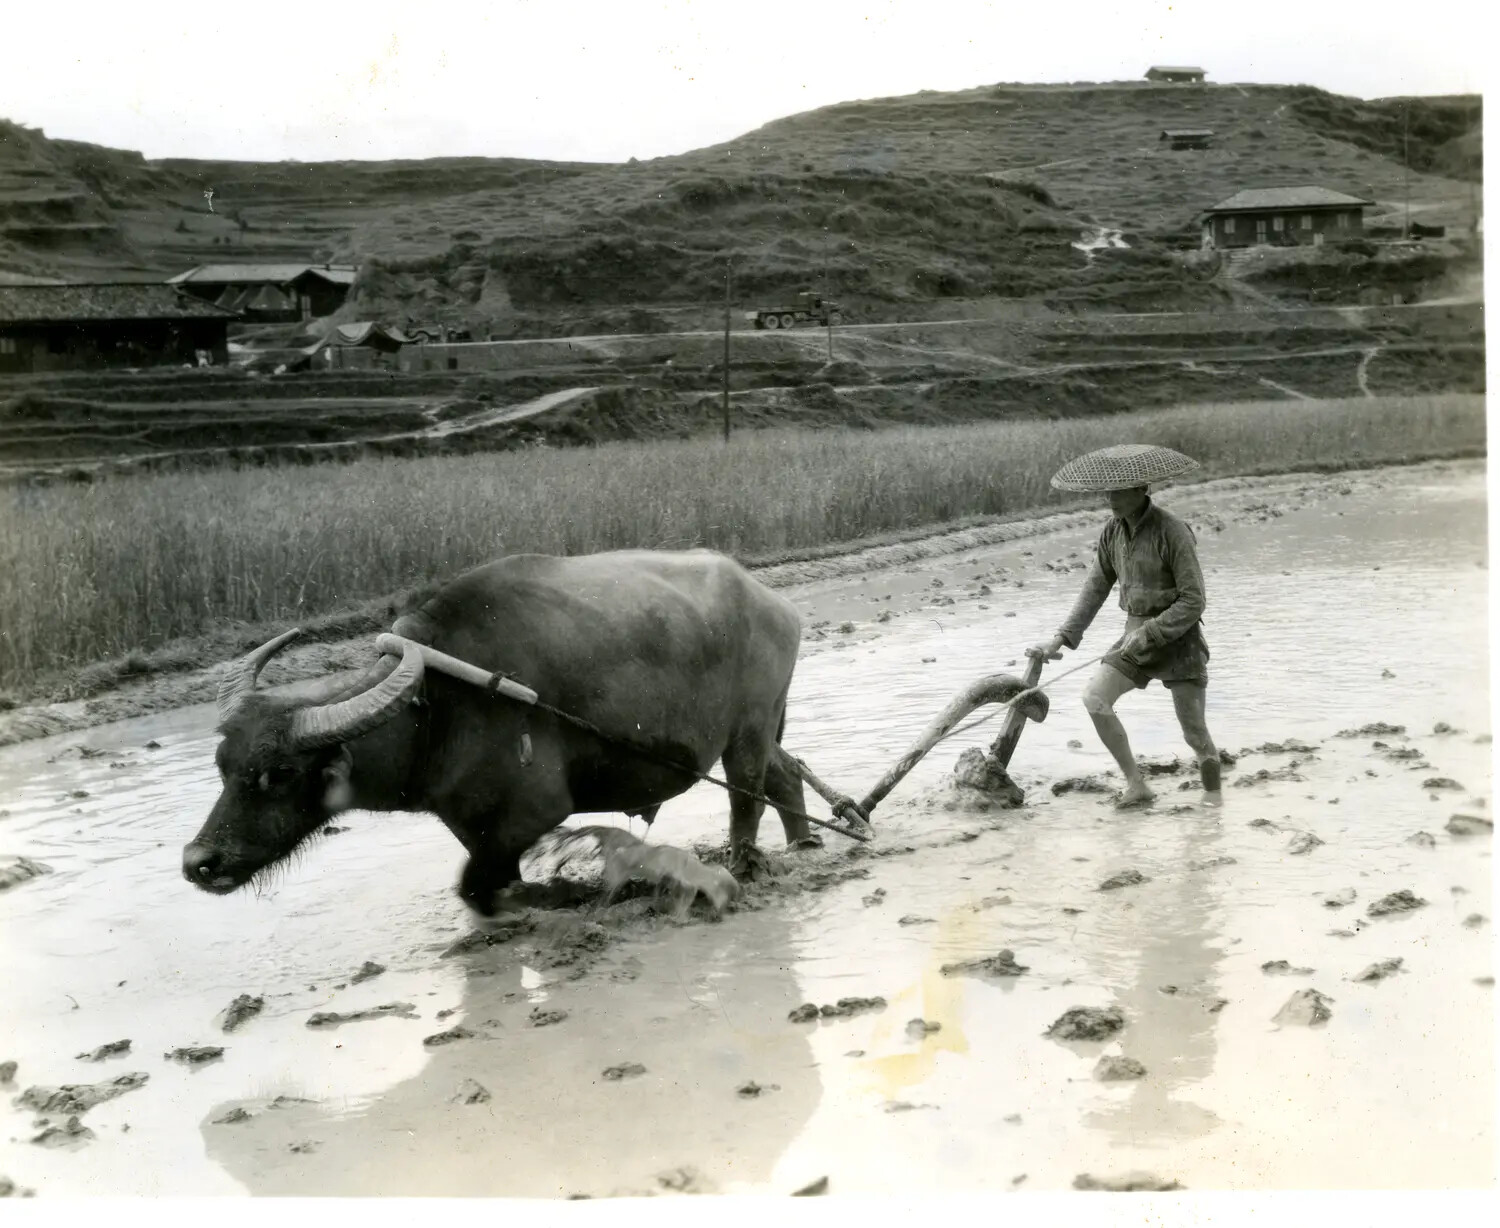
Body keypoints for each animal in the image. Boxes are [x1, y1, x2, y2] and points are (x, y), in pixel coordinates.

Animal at [183, 549, 821, 916]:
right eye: (223, 766)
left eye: (280, 772)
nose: (199, 862)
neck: (436, 709)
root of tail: (775, 604)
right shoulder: (470, 823)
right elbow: (484, 881)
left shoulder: (536, 811)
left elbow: (475, 889)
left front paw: (554, 895)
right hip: (762, 729)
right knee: (786, 777)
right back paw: (803, 846)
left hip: (747, 733)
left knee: (747, 798)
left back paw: (743, 868)